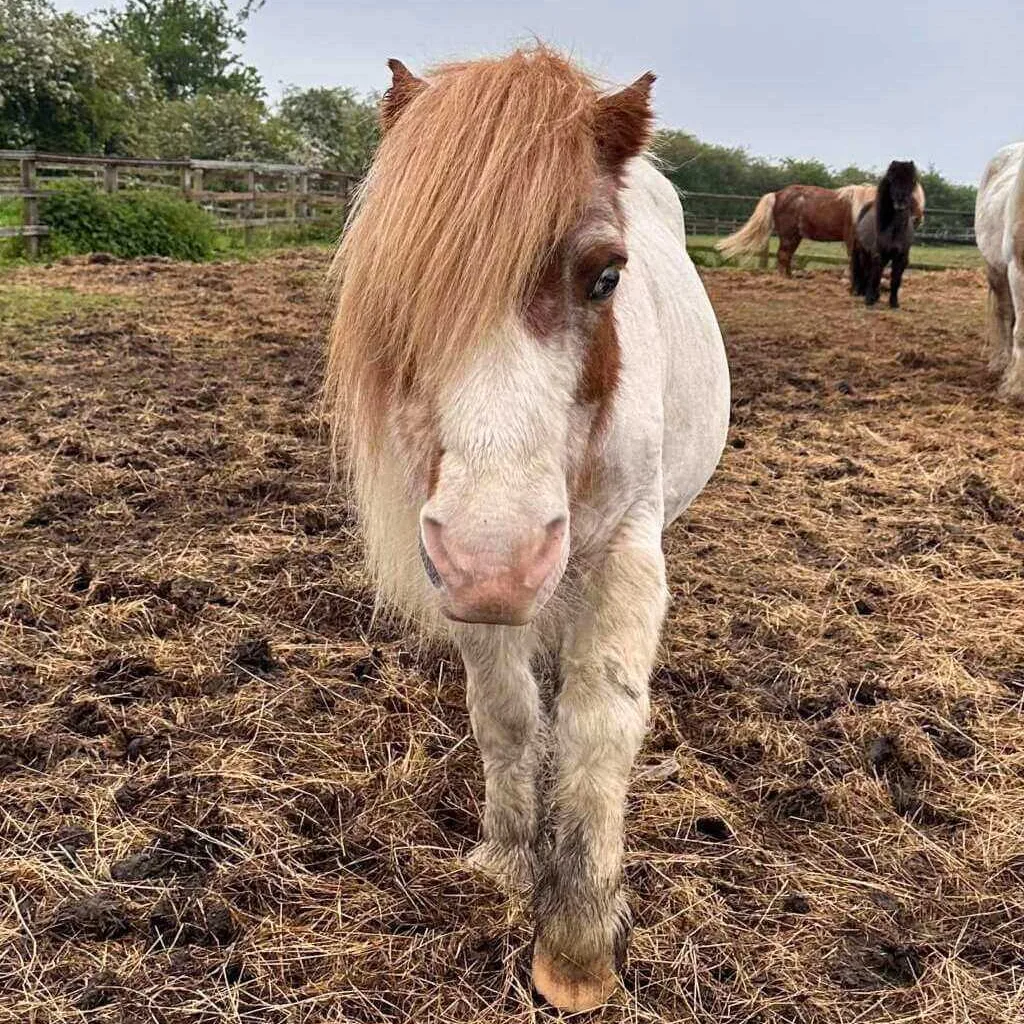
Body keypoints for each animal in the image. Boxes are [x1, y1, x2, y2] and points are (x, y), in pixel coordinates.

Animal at [324, 47, 730, 1011]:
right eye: (401, 289)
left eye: (608, 275)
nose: (500, 560)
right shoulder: (458, 577)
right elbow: (507, 715)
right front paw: (509, 861)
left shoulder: (624, 553)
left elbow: (598, 726)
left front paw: (577, 948)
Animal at [717, 180, 925, 276]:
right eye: (908, 198)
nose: (918, 219)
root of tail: (777, 194)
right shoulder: (851, 238)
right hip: (789, 236)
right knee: (783, 256)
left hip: (795, 237)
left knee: (786, 256)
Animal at [850, 160, 918, 308]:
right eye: (891, 180)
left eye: (912, 180)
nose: (901, 201)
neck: (895, 231)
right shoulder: (878, 254)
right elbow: (874, 276)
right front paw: (869, 300)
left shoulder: (901, 258)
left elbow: (895, 280)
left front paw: (894, 303)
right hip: (862, 252)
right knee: (866, 270)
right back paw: (860, 291)